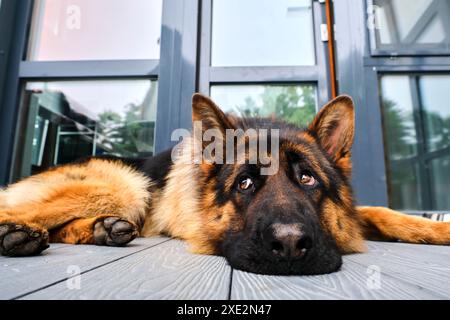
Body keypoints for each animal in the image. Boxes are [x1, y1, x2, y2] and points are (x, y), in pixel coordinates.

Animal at [0, 93, 450, 276]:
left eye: (307, 178)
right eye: (246, 183)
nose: (290, 245)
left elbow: (382, 212)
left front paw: (437, 228)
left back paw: (102, 229)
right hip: (126, 185)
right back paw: (16, 233)